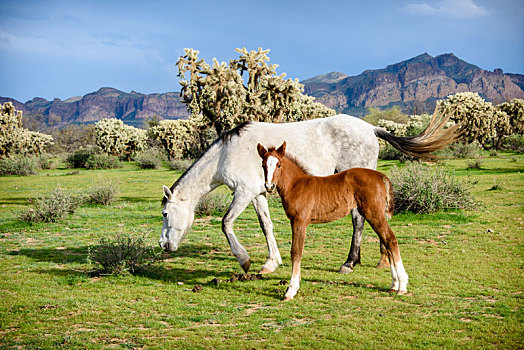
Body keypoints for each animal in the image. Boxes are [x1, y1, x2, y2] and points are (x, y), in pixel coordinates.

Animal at [162, 110, 456, 274]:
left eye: (165, 213)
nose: (164, 245)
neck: (227, 153)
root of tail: (371, 128)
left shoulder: (243, 193)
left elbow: (226, 223)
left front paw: (244, 260)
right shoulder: (257, 194)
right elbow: (266, 225)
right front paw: (272, 262)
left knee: (359, 220)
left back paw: (350, 262)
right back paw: (382, 260)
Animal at [256, 142, 408, 300]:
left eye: (279, 165)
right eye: (263, 165)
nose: (269, 186)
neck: (296, 185)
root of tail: (380, 175)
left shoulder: (300, 222)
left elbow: (296, 252)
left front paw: (291, 290)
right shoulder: (295, 222)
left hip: (373, 213)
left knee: (390, 239)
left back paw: (402, 286)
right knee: (386, 241)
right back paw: (394, 284)